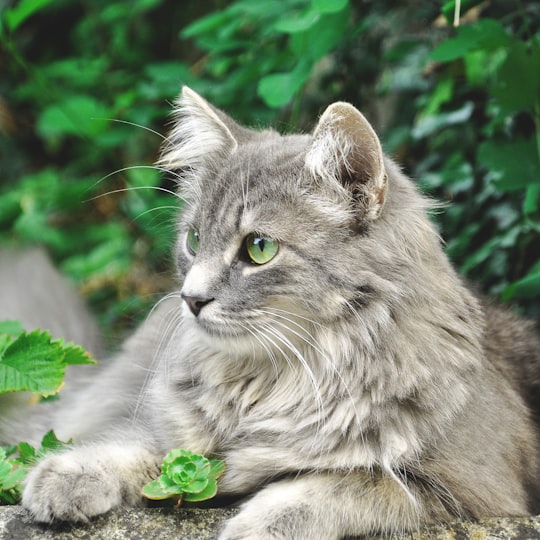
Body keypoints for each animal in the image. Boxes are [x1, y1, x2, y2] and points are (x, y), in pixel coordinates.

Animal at [1, 86, 540, 536]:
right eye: (194, 240)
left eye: (259, 248)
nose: (191, 299)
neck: (272, 383)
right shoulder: (183, 441)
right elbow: (141, 449)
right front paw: (67, 474)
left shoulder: (464, 489)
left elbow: (342, 485)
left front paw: (254, 525)